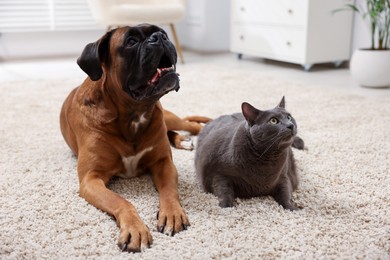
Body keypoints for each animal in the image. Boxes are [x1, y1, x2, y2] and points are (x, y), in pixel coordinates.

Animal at [59, 24, 210, 252]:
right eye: (131, 42)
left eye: (162, 33)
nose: (159, 37)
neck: (134, 114)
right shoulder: (91, 180)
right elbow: (121, 201)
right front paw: (135, 228)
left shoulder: (163, 163)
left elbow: (169, 191)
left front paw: (172, 214)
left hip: (169, 118)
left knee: (190, 124)